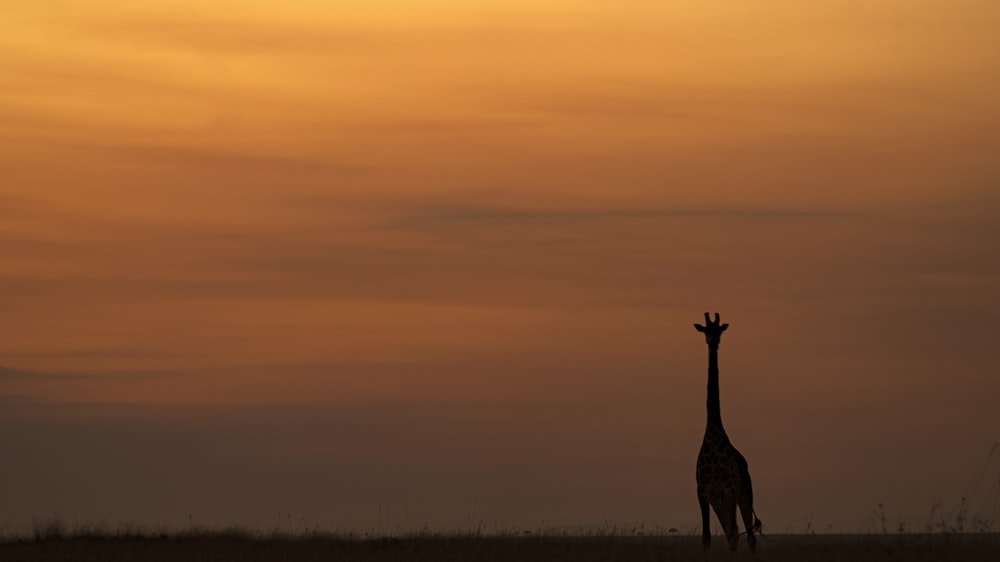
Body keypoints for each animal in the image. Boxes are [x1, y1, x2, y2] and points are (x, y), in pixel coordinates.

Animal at [692, 310, 760, 552]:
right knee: (735, 534)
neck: (713, 435)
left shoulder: (730, 491)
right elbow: (706, 537)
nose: (713, 342)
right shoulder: (703, 493)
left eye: (720, 330)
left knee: (747, 535)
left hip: (745, 494)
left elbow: (734, 534)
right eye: (705, 330)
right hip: (720, 503)